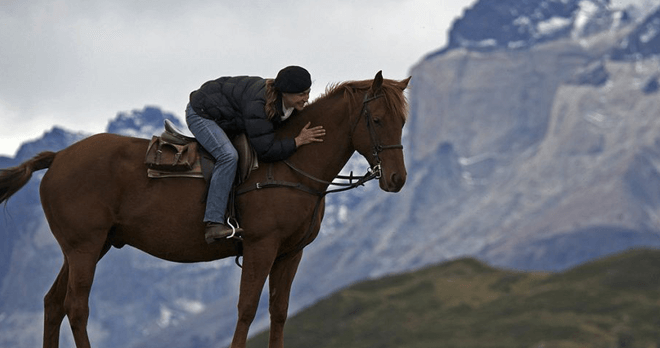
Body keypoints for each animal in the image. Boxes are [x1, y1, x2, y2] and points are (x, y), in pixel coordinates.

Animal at [0, 71, 410, 348]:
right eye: (376, 120)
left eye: (403, 121)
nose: (397, 178)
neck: (289, 165)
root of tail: (58, 158)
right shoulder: (261, 246)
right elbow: (247, 308)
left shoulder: (290, 254)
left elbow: (278, 312)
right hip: (84, 247)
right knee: (76, 306)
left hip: (88, 247)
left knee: (53, 303)